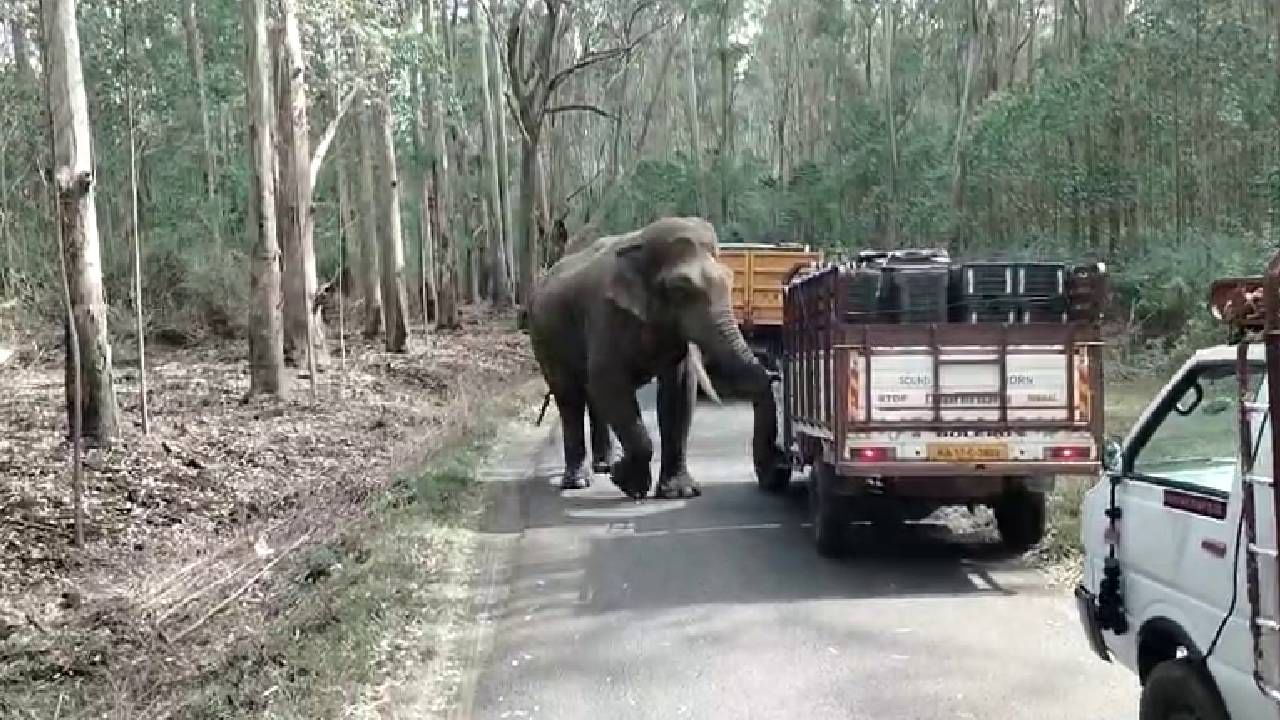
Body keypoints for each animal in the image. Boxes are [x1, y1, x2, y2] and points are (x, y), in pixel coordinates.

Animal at [527, 213, 783, 499]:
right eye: (680, 289)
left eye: (730, 281)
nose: (775, 374)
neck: (641, 243)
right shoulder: (605, 315)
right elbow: (610, 382)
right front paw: (628, 482)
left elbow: (679, 389)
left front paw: (679, 491)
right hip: (544, 340)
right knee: (569, 396)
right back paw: (578, 481)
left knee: (591, 394)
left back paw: (604, 466)